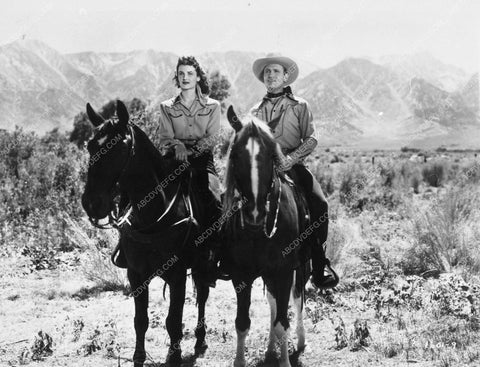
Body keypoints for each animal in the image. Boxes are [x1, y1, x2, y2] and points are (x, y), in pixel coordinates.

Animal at [81, 100, 211, 367]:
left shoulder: (177, 275)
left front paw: (175, 357)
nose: (92, 204)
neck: (154, 215)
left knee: (203, 295)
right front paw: (139, 358)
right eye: (90, 146)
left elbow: (173, 321)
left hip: (202, 264)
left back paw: (200, 341)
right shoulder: (136, 274)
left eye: (118, 148)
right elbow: (140, 321)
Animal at [224, 107, 312, 367]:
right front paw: (240, 361)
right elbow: (243, 323)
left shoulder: (283, 271)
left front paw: (285, 361)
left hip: (299, 269)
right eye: (235, 154)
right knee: (274, 304)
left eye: (272, 156)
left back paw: (299, 341)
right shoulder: (241, 276)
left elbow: (283, 322)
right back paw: (271, 349)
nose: (255, 213)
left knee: (296, 300)